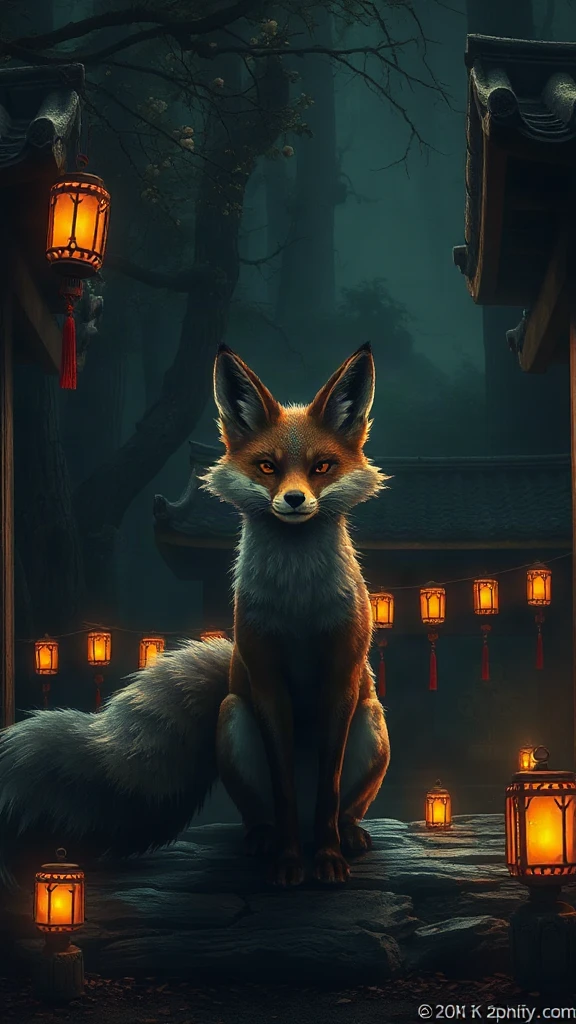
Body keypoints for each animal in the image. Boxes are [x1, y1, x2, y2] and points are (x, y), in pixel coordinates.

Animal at [0, 343, 390, 889]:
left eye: (322, 467)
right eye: (267, 466)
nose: (294, 500)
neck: (297, 606)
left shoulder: (342, 679)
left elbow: (329, 793)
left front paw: (328, 860)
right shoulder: (266, 683)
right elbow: (286, 792)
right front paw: (290, 863)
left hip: (371, 723)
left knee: (342, 806)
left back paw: (347, 835)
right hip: (233, 715)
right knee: (264, 812)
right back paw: (265, 840)